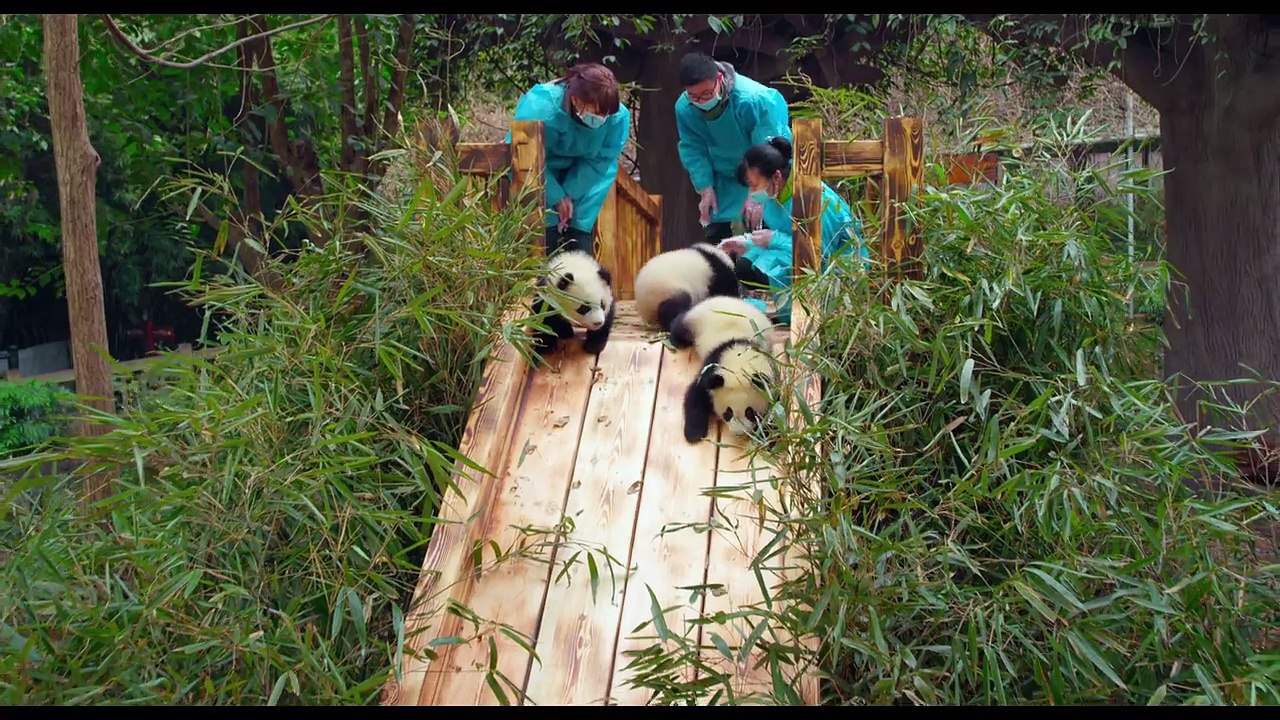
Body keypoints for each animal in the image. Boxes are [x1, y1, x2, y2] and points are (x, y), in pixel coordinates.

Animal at [669, 295, 778, 444]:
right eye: (728, 412)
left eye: (750, 412)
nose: (739, 432)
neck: (740, 358)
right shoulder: (713, 366)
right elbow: (696, 395)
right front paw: (694, 433)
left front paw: (767, 437)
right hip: (695, 320)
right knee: (680, 326)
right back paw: (676, 340)